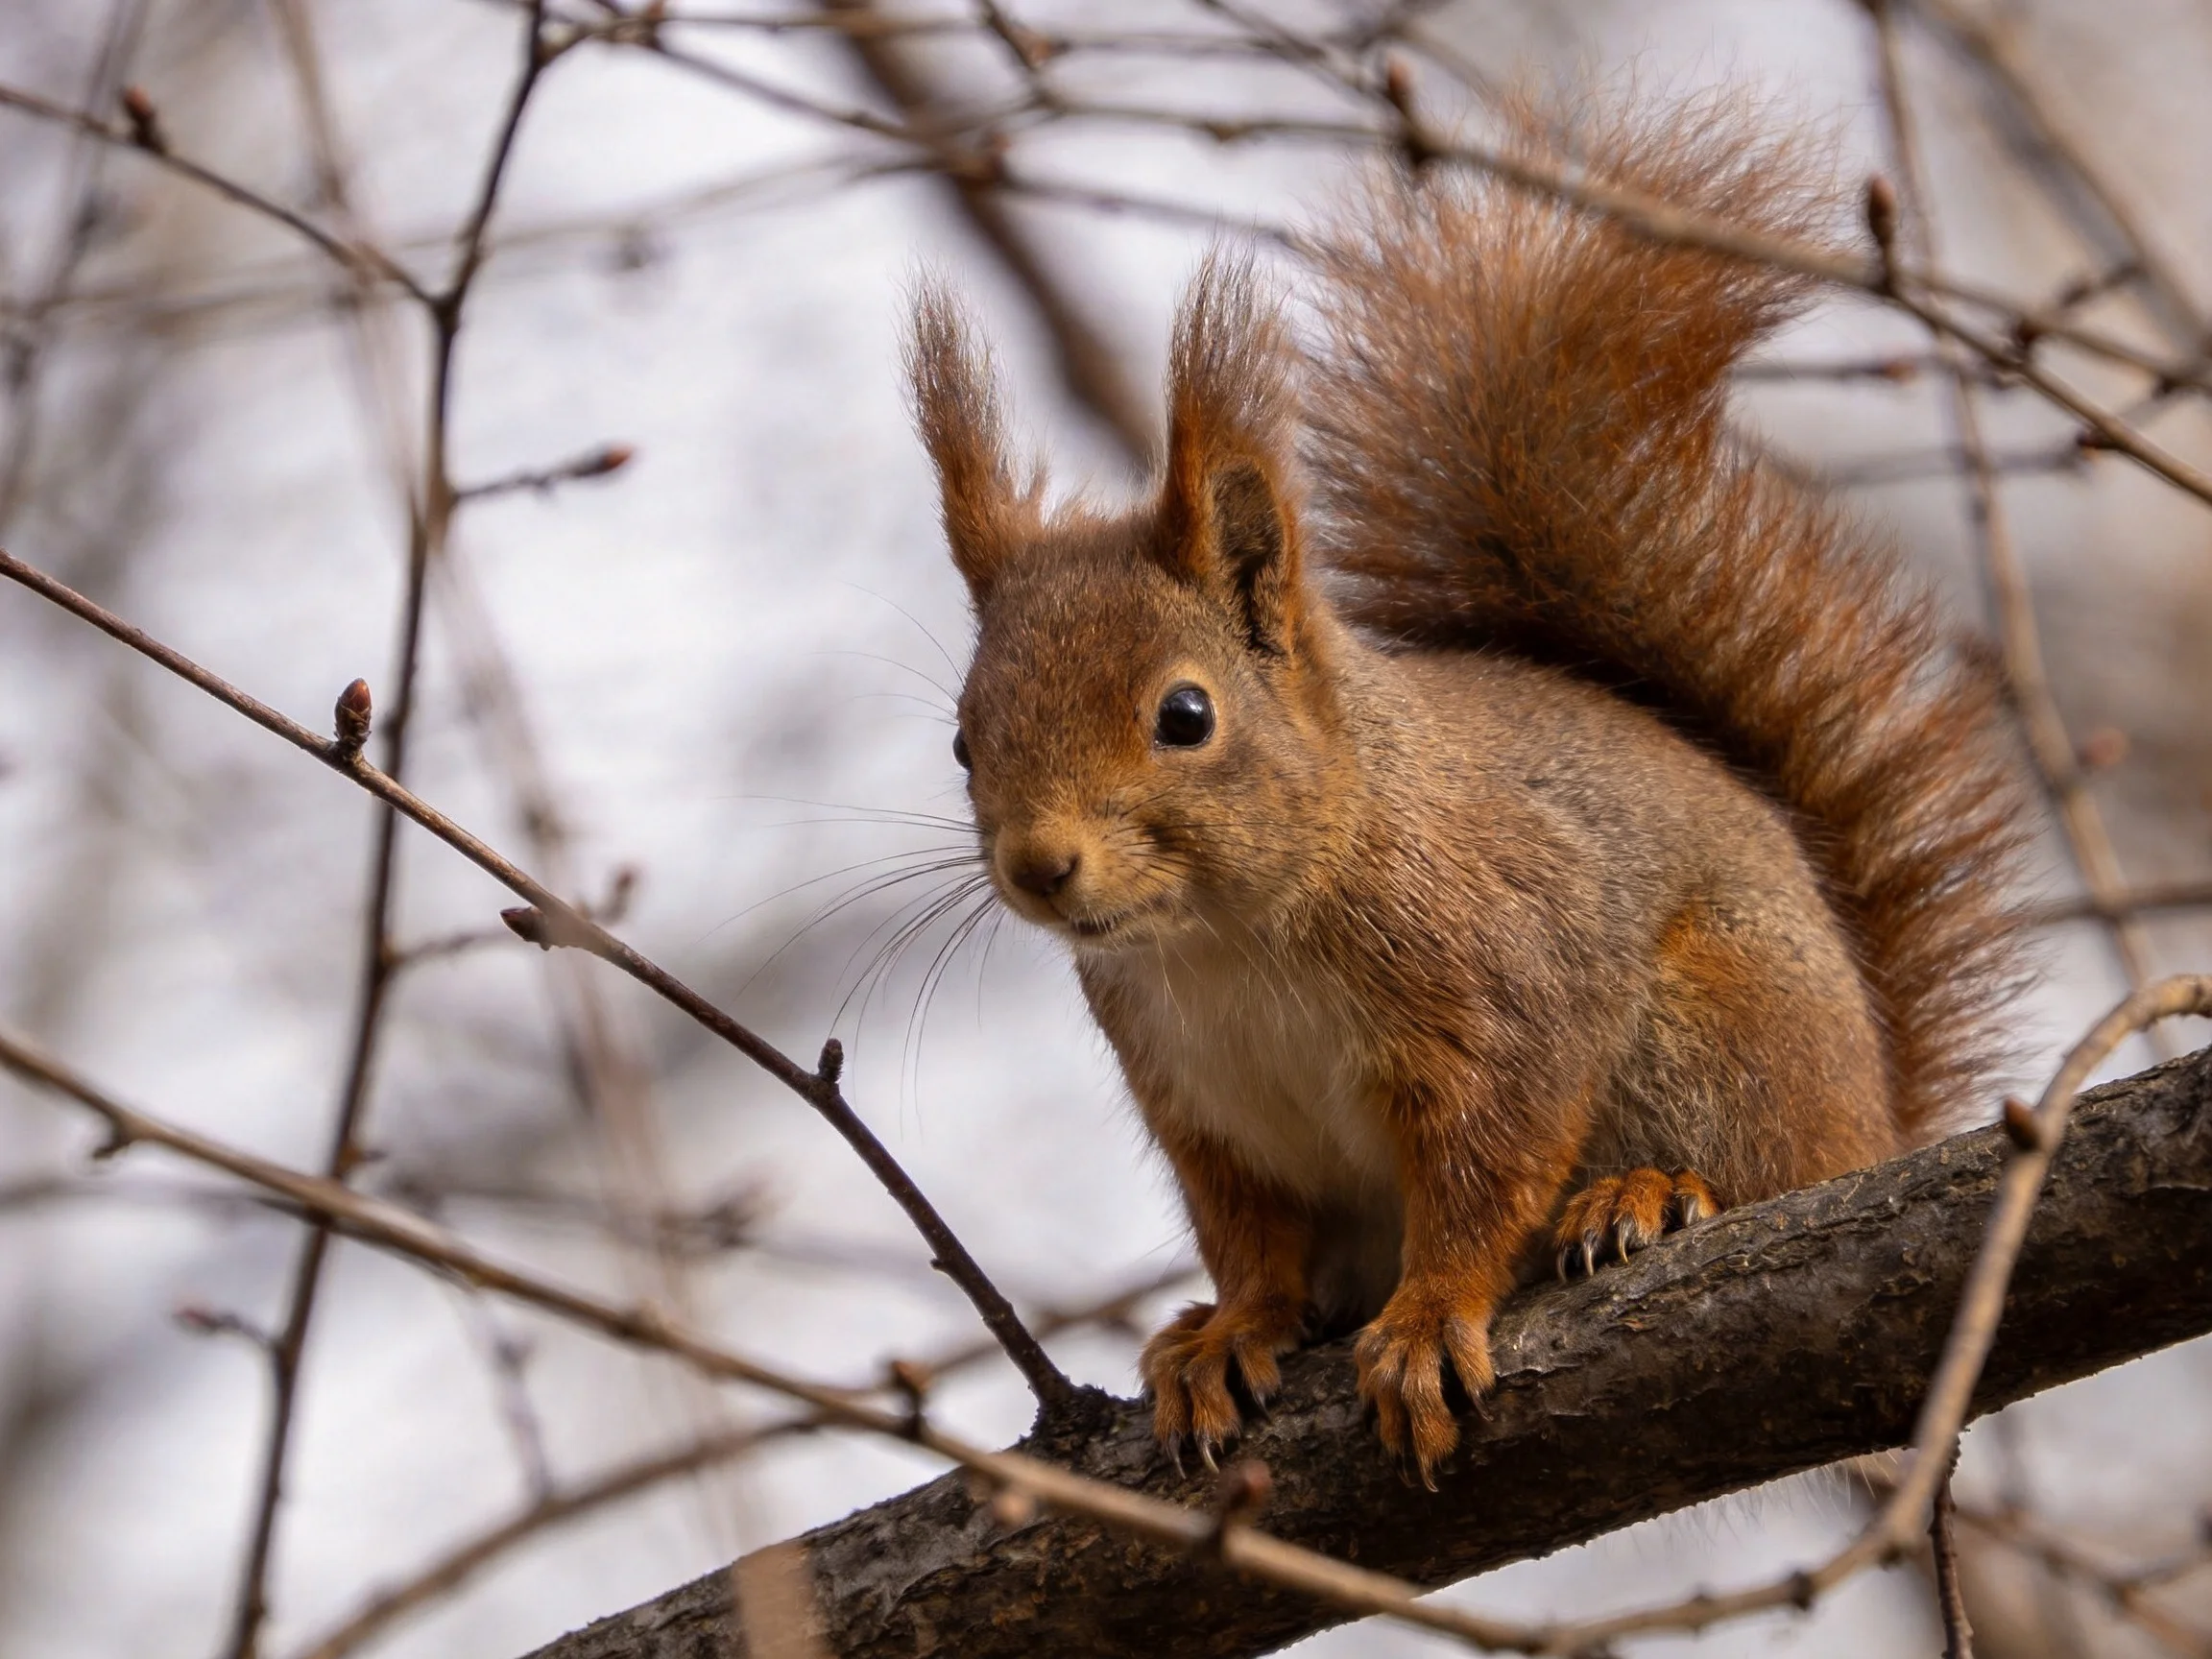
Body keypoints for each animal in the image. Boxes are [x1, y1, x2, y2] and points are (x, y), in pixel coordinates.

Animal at [904, 90, 2027, 1483]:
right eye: (962, 742)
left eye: (1185, 716)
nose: (1039, 867)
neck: (1225, 940)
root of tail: (1879, 1118)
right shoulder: (1201, 1108)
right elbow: (1250, 1241)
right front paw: (1233, 1330)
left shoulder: (1502, 984)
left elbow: (1488, 1171)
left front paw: (1432, 1318)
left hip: (1722, 1031)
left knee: (1762, 1173)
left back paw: (1653, 1194)